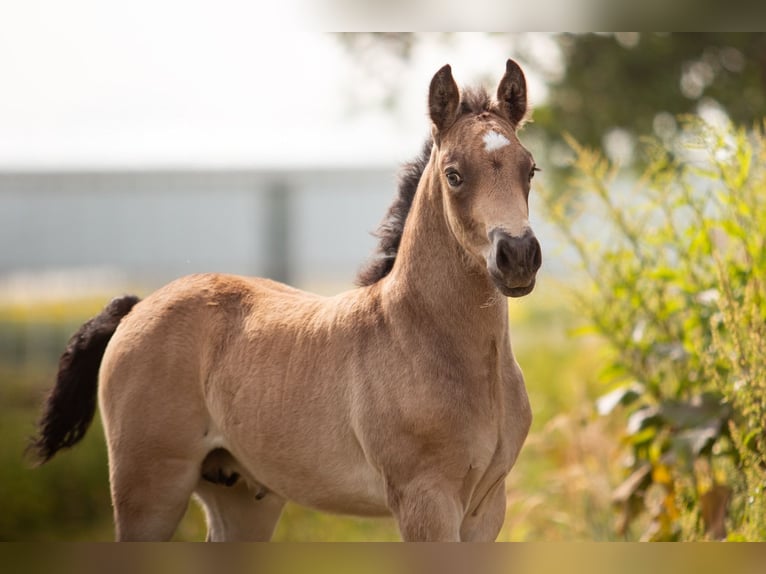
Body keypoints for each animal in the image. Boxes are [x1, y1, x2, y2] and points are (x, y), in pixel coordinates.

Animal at [33, 60, 544, 544]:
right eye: (454, 175)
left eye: (530, 168)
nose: (518, 256)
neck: (422, 338)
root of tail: (136, 309)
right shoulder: (425, 501)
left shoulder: (485, 509)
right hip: (149, 487)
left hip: (239, 495)